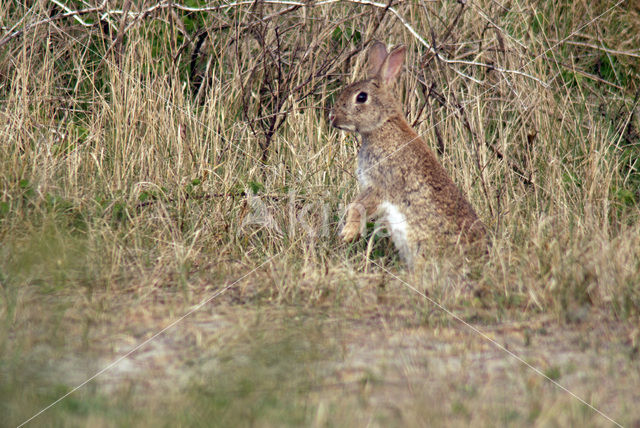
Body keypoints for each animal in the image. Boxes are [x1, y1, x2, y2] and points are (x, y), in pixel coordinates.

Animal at [330, 40, 484, 268]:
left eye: (361, 97)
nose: (333, 118)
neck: (383, 126)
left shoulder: (380, 184)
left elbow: (357, 206)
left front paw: (348, 233)